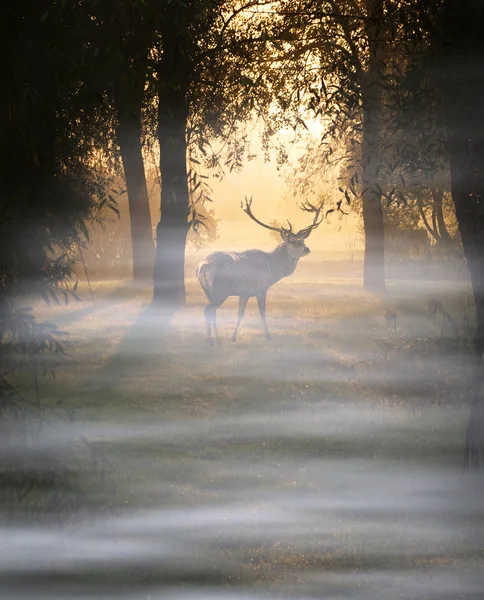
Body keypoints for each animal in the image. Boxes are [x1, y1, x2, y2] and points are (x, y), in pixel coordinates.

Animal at [195, 197, 324, 344]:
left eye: (302, 240)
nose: (306, 249)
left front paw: (233, 337)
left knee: (212, 311)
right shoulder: (261, 288)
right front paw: (268, 335)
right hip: (221, 289)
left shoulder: (244, 293)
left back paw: (216, 338)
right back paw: (211, 341)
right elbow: (262, 313)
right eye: (291, 241)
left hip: (209, 291)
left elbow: (240, 314)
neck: (272, 270)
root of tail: (202, 267)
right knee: (208, 310)